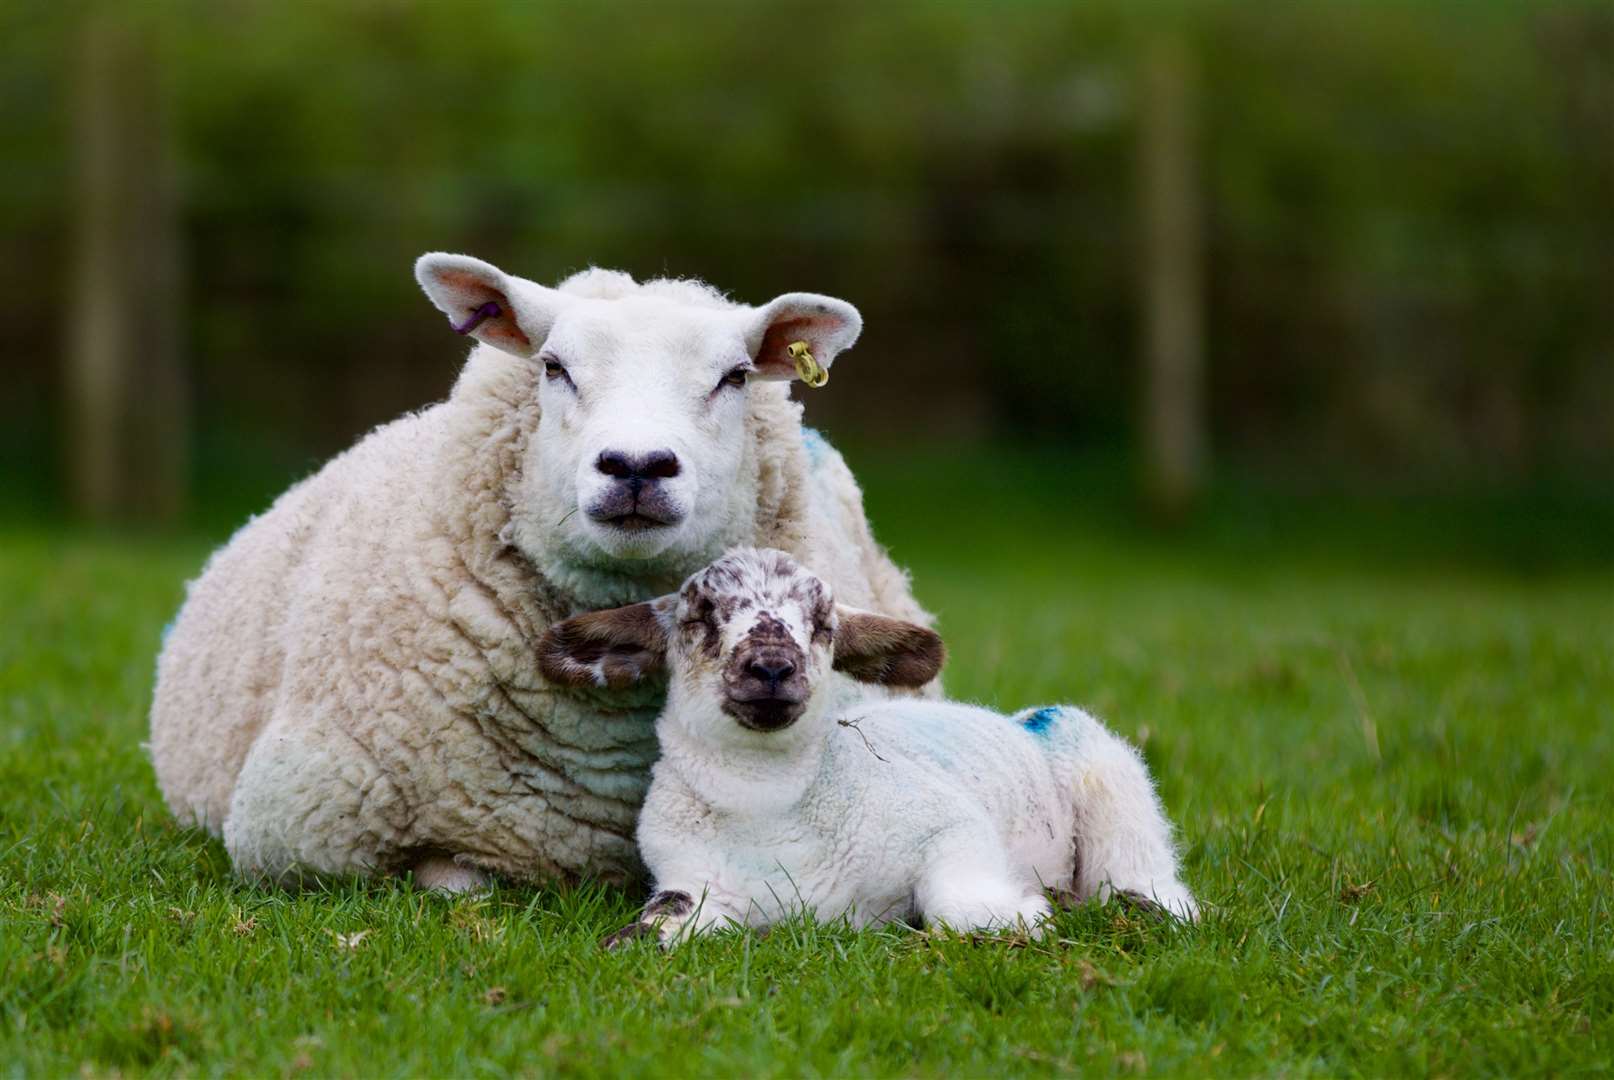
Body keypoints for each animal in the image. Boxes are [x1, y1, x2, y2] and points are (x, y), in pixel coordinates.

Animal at [539, 542, 1200, 936]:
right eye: (699, 617)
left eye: (822, 625)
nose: (772, 667)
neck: (768, 811)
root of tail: (1022, 718)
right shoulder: (689, 879)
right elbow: (648, 932)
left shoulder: (951, 828)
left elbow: (957, 909)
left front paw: (1032, 911)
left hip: (1106, 771)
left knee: (1149, 874)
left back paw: (1138, 904)